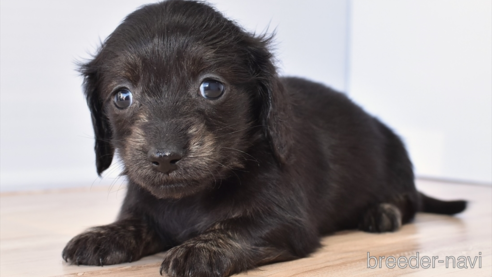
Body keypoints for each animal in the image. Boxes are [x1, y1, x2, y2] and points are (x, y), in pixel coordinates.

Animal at [63, 1, 468, 274]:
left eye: (211, 87)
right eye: (122, 96)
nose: (165, 157)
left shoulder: (285, 221)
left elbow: (237, 227)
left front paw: (203, 248)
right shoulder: (147, 209)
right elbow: (138, 222)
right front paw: (104, 234)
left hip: (396, 163)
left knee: (407, 202)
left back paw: (381, 211)